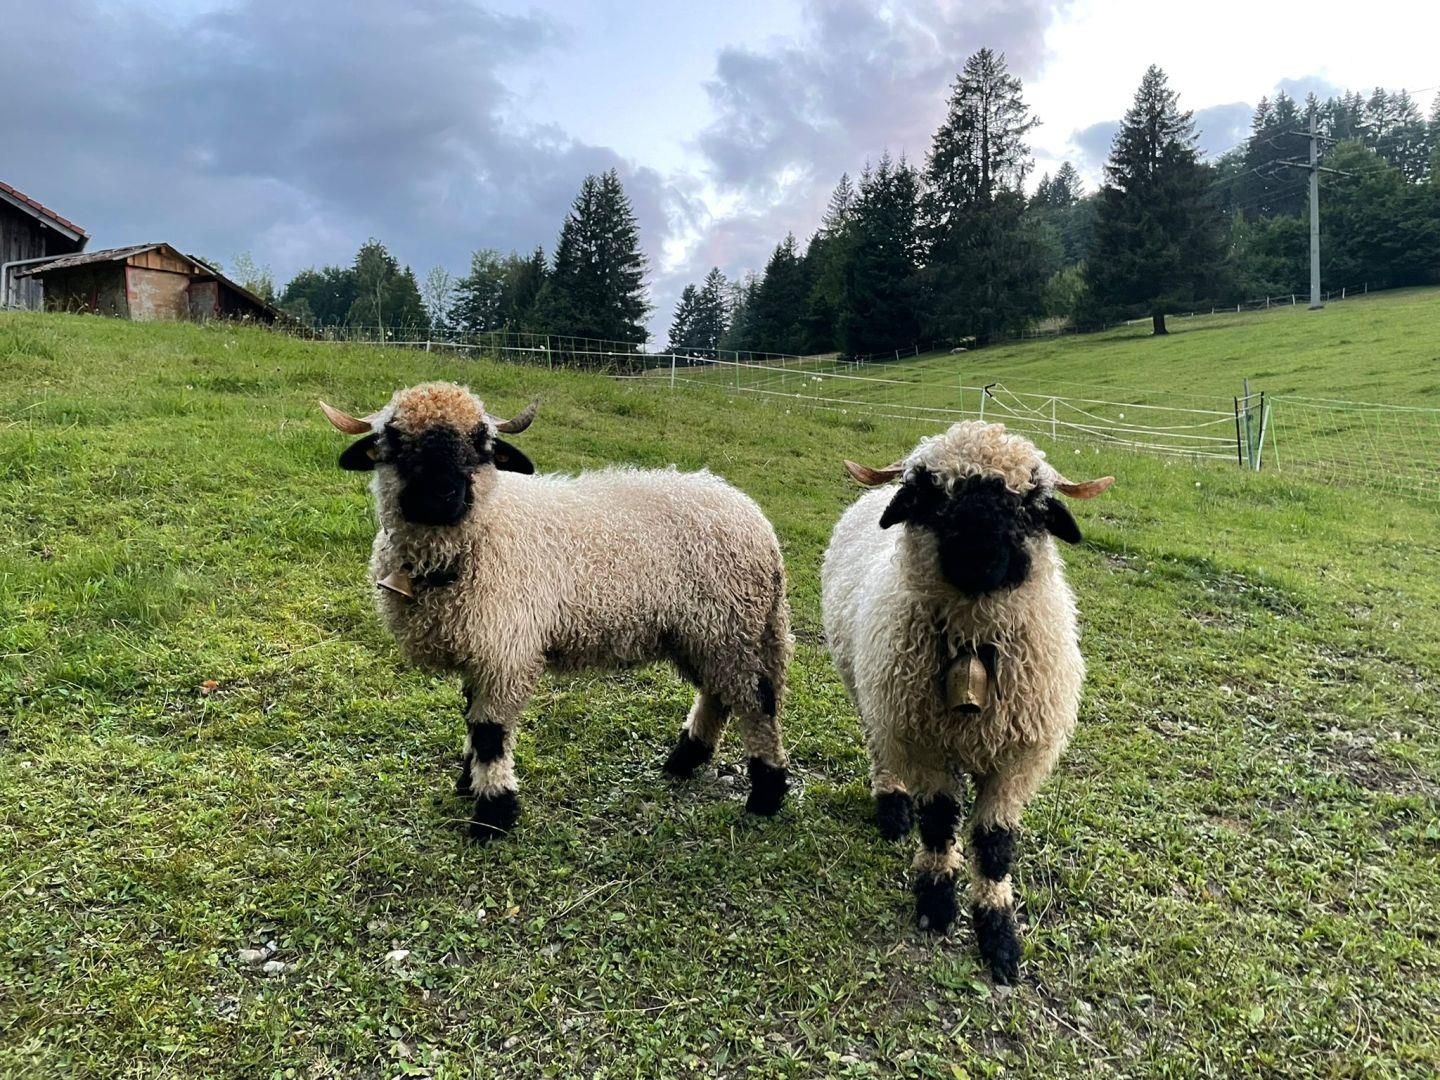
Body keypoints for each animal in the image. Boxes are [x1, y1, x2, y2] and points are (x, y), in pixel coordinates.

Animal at [322, 383, 794, 846]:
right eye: (395, 439)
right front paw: (469, 782)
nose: (440, 496)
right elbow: (472, 718)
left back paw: (766, 794)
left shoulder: (506, 650)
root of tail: (753, 516)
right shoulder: (481, 646)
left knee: (756, 702)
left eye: (481, 444)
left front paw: (492, 814)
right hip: (705, 632)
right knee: (718, 695)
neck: (481, 535)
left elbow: (489, 732)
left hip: (731, 626)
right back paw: (686, 759)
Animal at [823, 426, 1111, 990]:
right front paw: (937, 903)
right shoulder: (926, 744)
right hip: (872, 693)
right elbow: (938, 823)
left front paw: (998, 935)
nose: (978, 554)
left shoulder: (1016, 763)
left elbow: (995, 844)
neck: (973, 643)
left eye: (1030, 503)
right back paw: (892, 806)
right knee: (881, 748)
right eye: (930, 494)